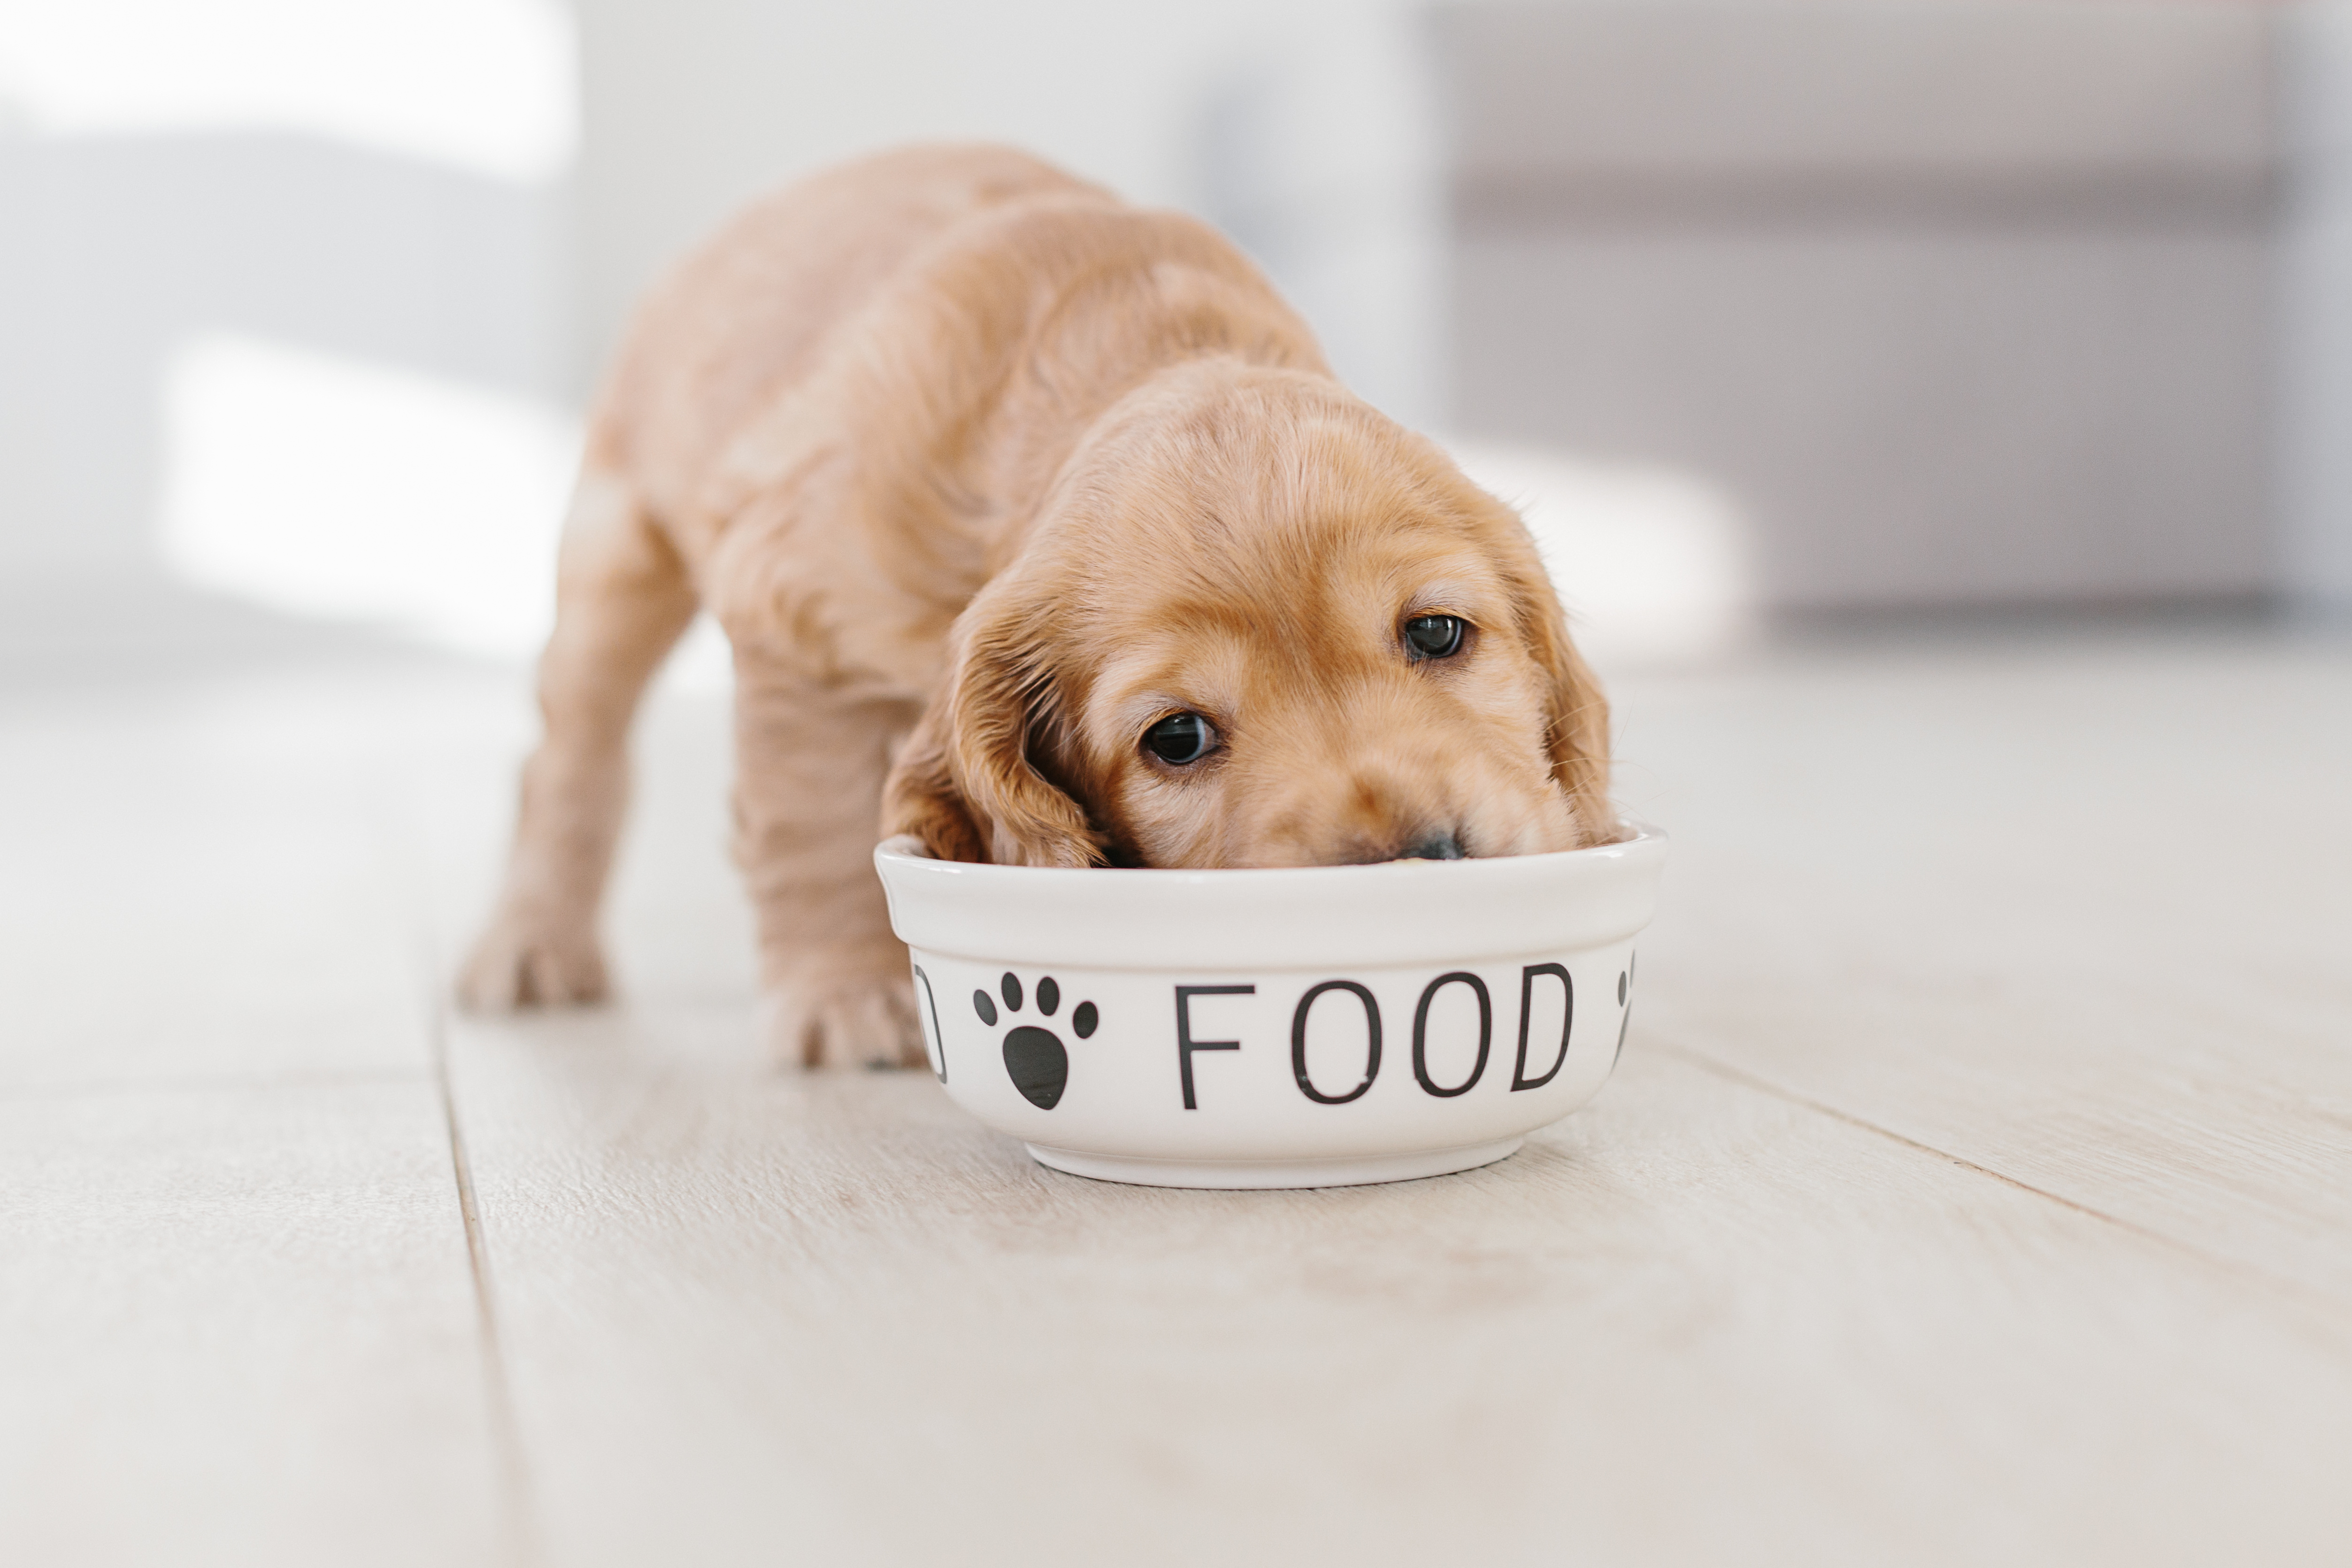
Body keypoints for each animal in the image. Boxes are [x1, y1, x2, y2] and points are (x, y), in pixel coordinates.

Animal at [456, 144, 1608, 1067]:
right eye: (1177, 737)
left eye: (1438, 631)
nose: (1424, 854)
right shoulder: (797, 616)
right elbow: (813, 818)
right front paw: (842, 995)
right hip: (615, 555)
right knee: (569, 757)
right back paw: (533, 943)